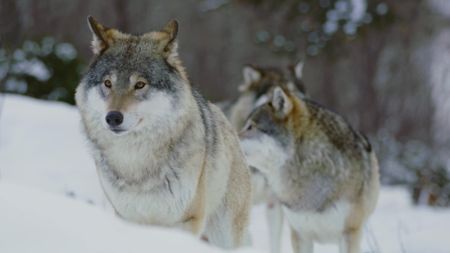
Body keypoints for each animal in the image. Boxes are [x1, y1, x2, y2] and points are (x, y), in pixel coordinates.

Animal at [76, 16, 253, 249]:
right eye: (108, 83)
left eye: (140, 85)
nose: (113, 117)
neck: (135, 163)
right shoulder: (127, 218)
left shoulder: (186, 221)